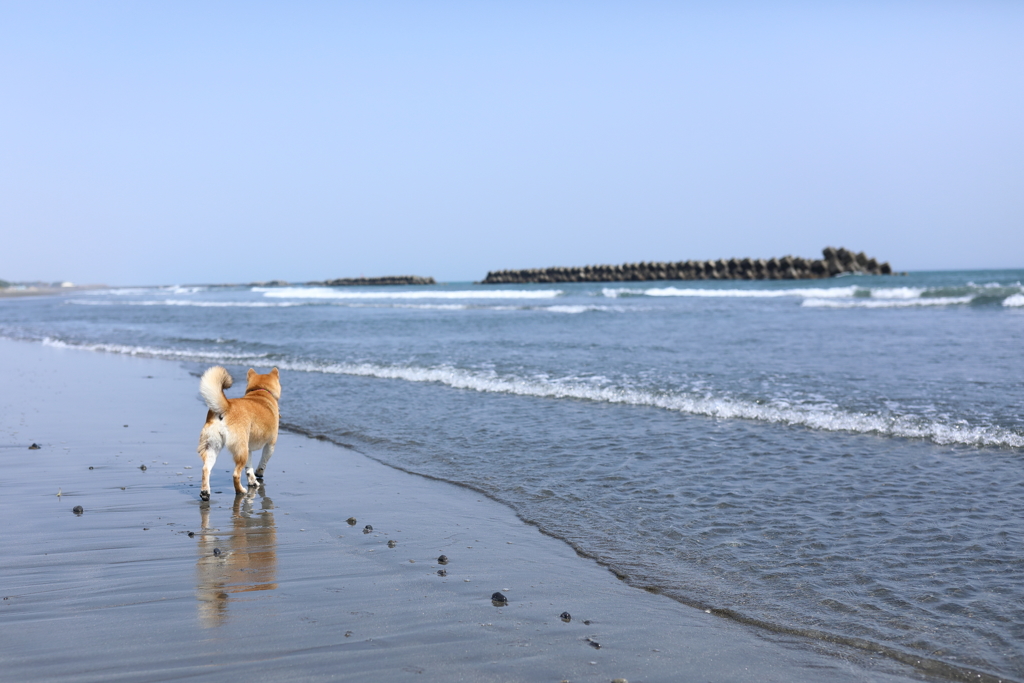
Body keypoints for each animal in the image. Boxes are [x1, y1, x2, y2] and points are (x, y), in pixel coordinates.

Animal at [195, 366, 280, 499]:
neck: (260, 391)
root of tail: (227, 407)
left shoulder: (249, 449)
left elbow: (249, 469)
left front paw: (252, 481)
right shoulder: (270, 444)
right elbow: (263, 462)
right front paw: (259, 473)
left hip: (213, 447)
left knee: (205, 469)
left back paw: (205, 492)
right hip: (240, 449)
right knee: (235, 474)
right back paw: (240, 491)